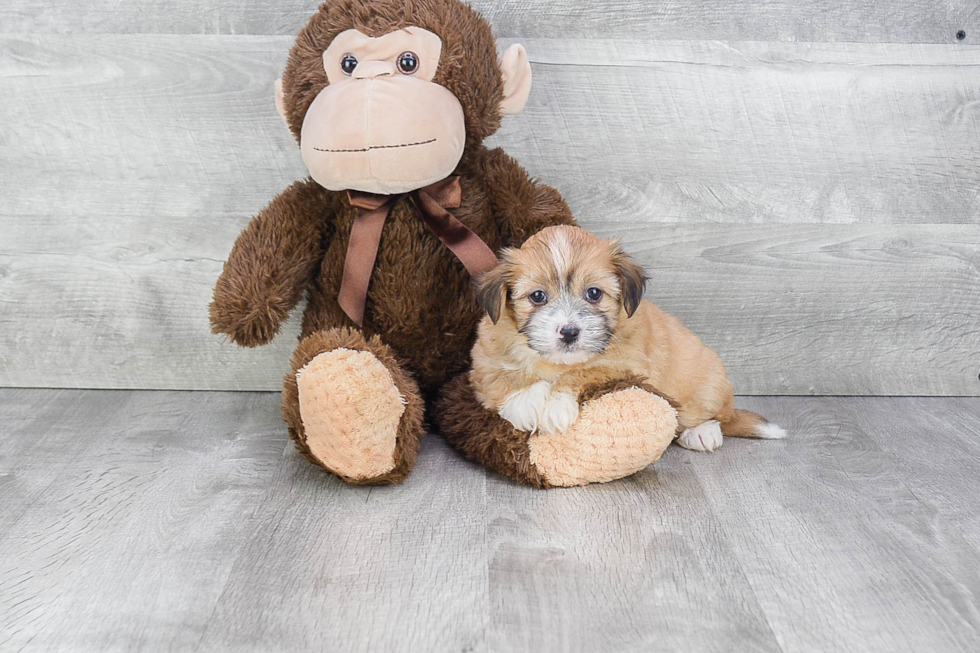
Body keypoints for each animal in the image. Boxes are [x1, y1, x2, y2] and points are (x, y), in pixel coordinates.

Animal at [468, 223, 788, 448]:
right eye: (537, 296)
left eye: (594, 293)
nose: (569, 332)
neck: (556, 363)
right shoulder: (483, 359)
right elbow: (505, 377)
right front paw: (526, 403)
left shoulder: (626, 365)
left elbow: (584, 372)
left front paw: (556, 406)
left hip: (706, 385)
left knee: (712, 415)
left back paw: (702, 432)